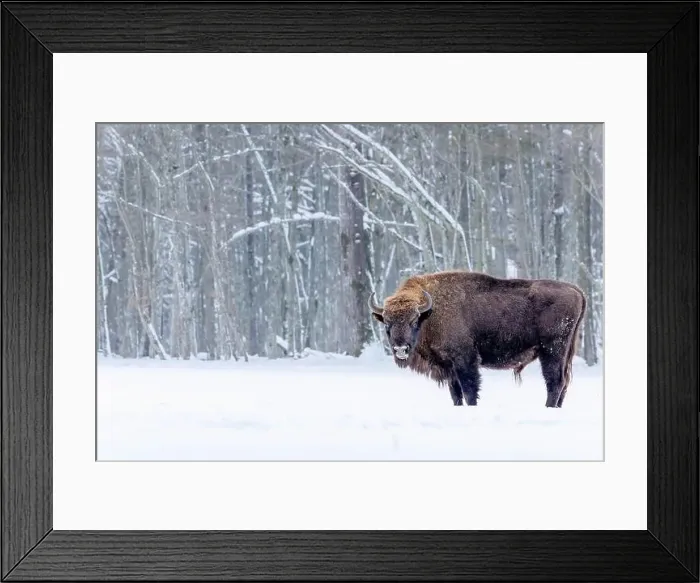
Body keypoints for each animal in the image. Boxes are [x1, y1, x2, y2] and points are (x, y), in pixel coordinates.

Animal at [368, 270, 586, 408]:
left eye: (414, 321)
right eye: (387, 323)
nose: (400, 349)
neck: (430, 312)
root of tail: (575, 290)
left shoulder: (465, 361)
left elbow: (470, 390)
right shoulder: (450, 368)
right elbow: (456, 394)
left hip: (552, 351)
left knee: (555, 382)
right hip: (566, 353)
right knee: (564, 382)